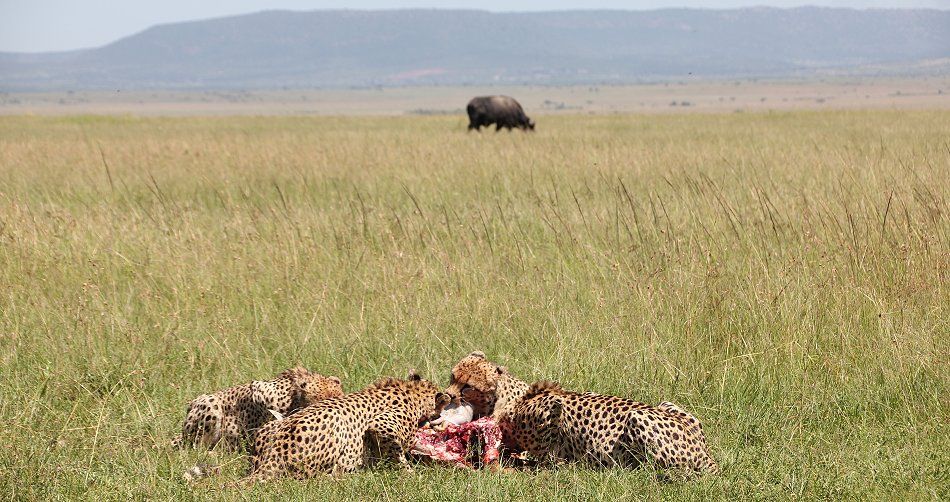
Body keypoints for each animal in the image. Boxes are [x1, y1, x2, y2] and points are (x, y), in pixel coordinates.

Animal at [245, 368, 454, 482]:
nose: (440, 418)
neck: (411, 392)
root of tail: (275, 453)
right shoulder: (381, 424)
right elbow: (397, 453)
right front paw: (409, 473)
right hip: (336, 423)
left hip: (270, 427)